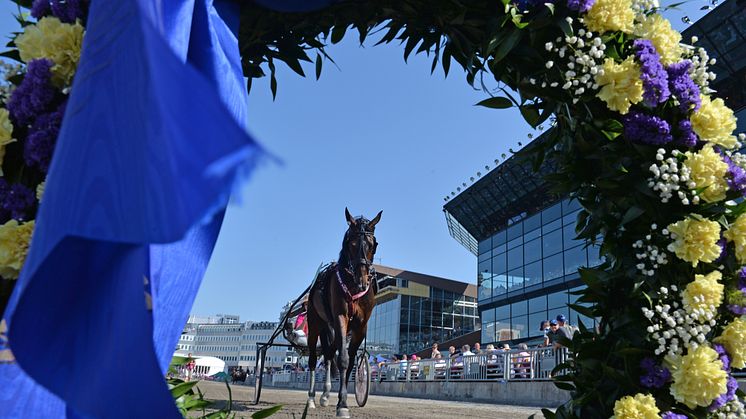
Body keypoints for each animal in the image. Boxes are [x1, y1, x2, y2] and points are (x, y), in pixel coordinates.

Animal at [306, 208, 380, 418]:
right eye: (351, 243)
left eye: (373, 245)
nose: (362, 281)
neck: (353, 286)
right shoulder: (341, 317)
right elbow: (344, 359)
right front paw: (342, 405)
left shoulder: (360, 326)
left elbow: (350, 360)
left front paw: (342, 400)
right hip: (315, 324)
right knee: (314, 359)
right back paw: (312, 398)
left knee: (329, 353)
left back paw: (324, 395)